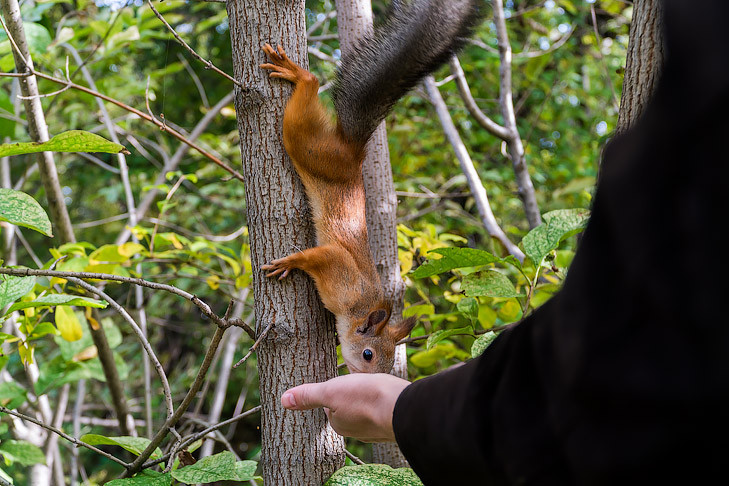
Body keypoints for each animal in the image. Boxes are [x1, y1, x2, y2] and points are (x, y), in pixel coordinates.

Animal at [262, 0, 484, 374]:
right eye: (368, 354)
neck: (359, 309)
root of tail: (353, 151)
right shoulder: (338, 270)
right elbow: (319, 255)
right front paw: (291, 261)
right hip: (311, 148)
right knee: (306, 99)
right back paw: (300, 75)